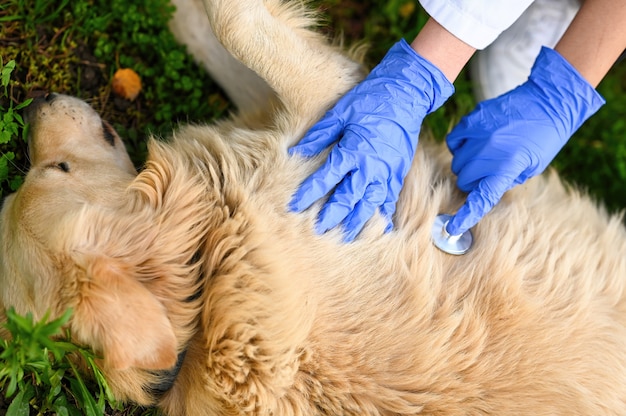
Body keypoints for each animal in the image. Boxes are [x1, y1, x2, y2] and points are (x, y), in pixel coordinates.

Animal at [1, 0, 624, 414]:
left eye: (51, 170)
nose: (33, 104)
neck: (209, 275)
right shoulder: (323, 128)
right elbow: (238, 24)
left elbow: (230, 34)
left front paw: (184, 21)